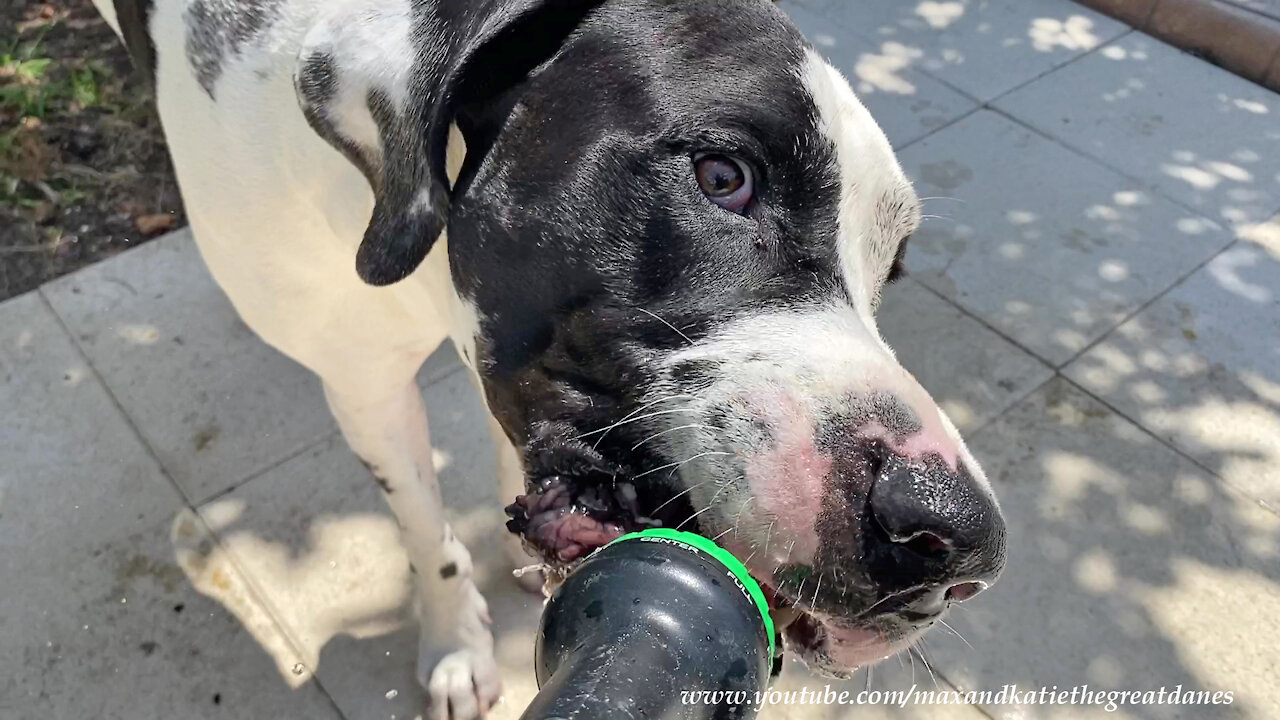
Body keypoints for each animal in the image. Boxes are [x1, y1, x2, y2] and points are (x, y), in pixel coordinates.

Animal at [92, 0, 1008, 712]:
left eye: (890, 267)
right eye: (722, 176)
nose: (959, 542)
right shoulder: (364, 386)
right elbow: (424, 525)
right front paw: (456, 647)